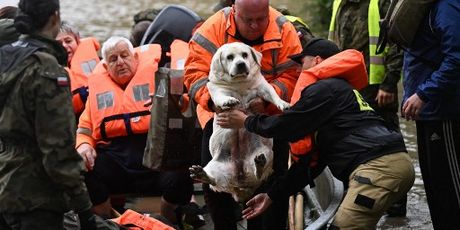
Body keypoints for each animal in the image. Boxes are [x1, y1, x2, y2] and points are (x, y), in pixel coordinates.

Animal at [189, 42, 290, 201]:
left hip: (267, 153)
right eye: (230, 57)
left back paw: (259, 164)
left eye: (245, 55)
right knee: (214, 180)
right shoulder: (217, 90)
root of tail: (239, 184)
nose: (241, 64)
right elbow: (221, 96)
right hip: (215, 167)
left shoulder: (263, 87)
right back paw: (201, 174)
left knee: (260, 174)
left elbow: (273, 94)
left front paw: (283, 104)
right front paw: (229, 101)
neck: (239, 83)